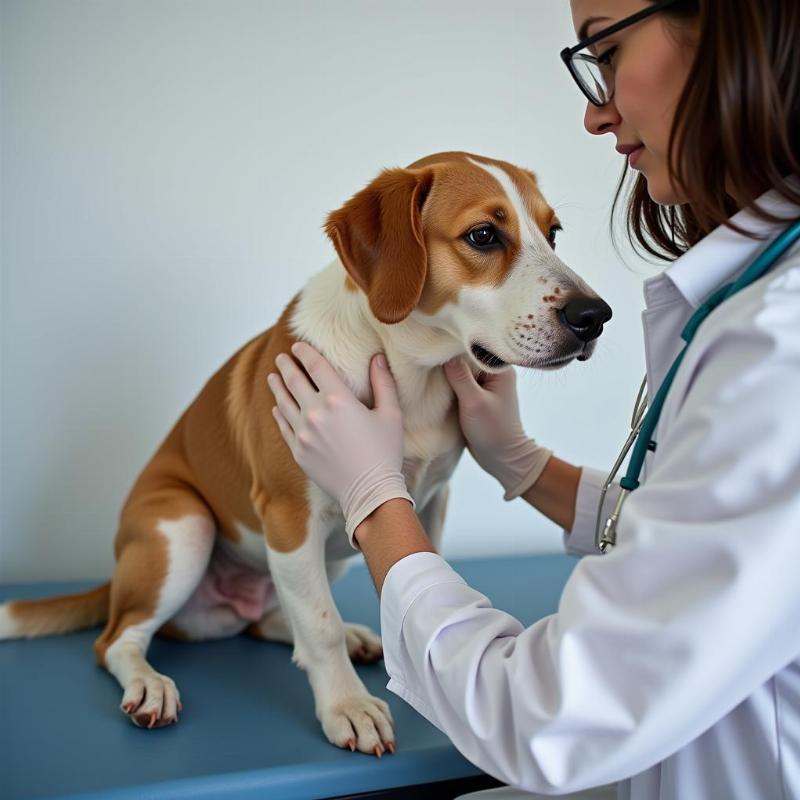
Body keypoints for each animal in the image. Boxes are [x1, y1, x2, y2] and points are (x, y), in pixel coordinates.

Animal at [1, 150, 612, 756]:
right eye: (484, 235)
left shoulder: (430, 503)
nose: (595, 316)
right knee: (117, 639)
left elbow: (406, 586)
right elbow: (318, 627)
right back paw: (149, 683)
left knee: (276, 618)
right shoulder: (290, 515)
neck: (408, 371)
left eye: (553, 233)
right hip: (184, 527)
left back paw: (349, 634)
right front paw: (346, 707)